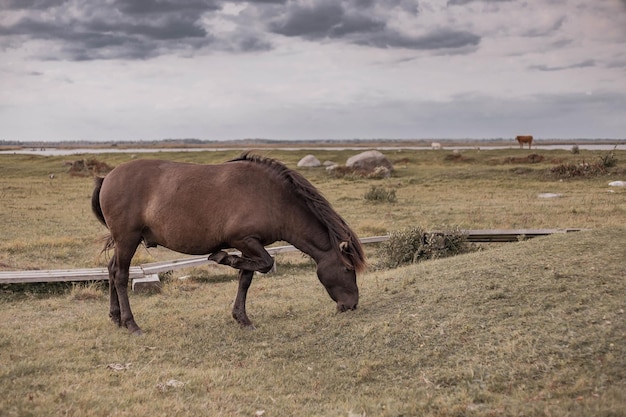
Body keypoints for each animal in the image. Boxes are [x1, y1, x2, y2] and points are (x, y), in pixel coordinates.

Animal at [92, 153, 366, 334]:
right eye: (348, 269)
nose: (352, 305)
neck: (273, 198)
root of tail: (107, 178)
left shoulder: (250, 244)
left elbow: (247, 277)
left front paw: (241, 318)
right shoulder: (244, 240)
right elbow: (265, 264)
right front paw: (223, 258)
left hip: (125, 241)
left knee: (112, 269)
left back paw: (115, 317)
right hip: (128, 239)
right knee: (120, 275)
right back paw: (131, 323)